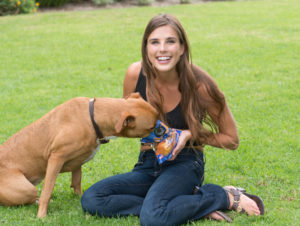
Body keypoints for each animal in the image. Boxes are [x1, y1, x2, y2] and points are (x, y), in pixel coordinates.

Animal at [0, 92, 158, 218]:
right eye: (151, 127)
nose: (163, 128)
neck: (92, 118)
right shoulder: (56, 158)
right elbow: (47, 191)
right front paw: (42, 216)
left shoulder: (77, 163)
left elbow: (77, 182)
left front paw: (78, 199)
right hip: (27, 189)